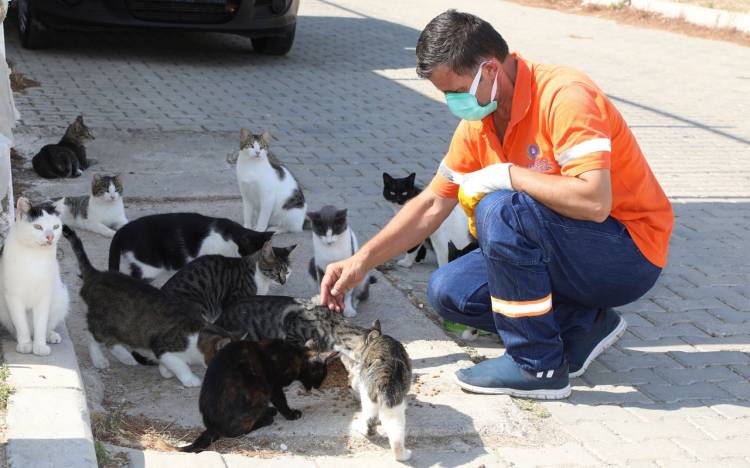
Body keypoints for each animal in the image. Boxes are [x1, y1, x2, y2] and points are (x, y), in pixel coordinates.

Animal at [0, 197, 70, 354]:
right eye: (37, 227)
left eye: (56, 227)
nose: (50, 237)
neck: (34, 257)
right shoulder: (13, 296)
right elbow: (21, 324)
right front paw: (25, 344)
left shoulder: (44, 296)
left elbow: (41, 324)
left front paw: (39, 346)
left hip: (61, 297)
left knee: (48, 325)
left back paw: (50, 336)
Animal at [181, 340, 336, 454]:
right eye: (322, 376)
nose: (319, 386)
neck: (296, 355)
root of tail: (212, 426)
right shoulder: (273, 384)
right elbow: (281, 401)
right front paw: (291, 414)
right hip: (260, 387)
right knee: (237, 430)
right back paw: (267, 417)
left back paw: (268, 412)